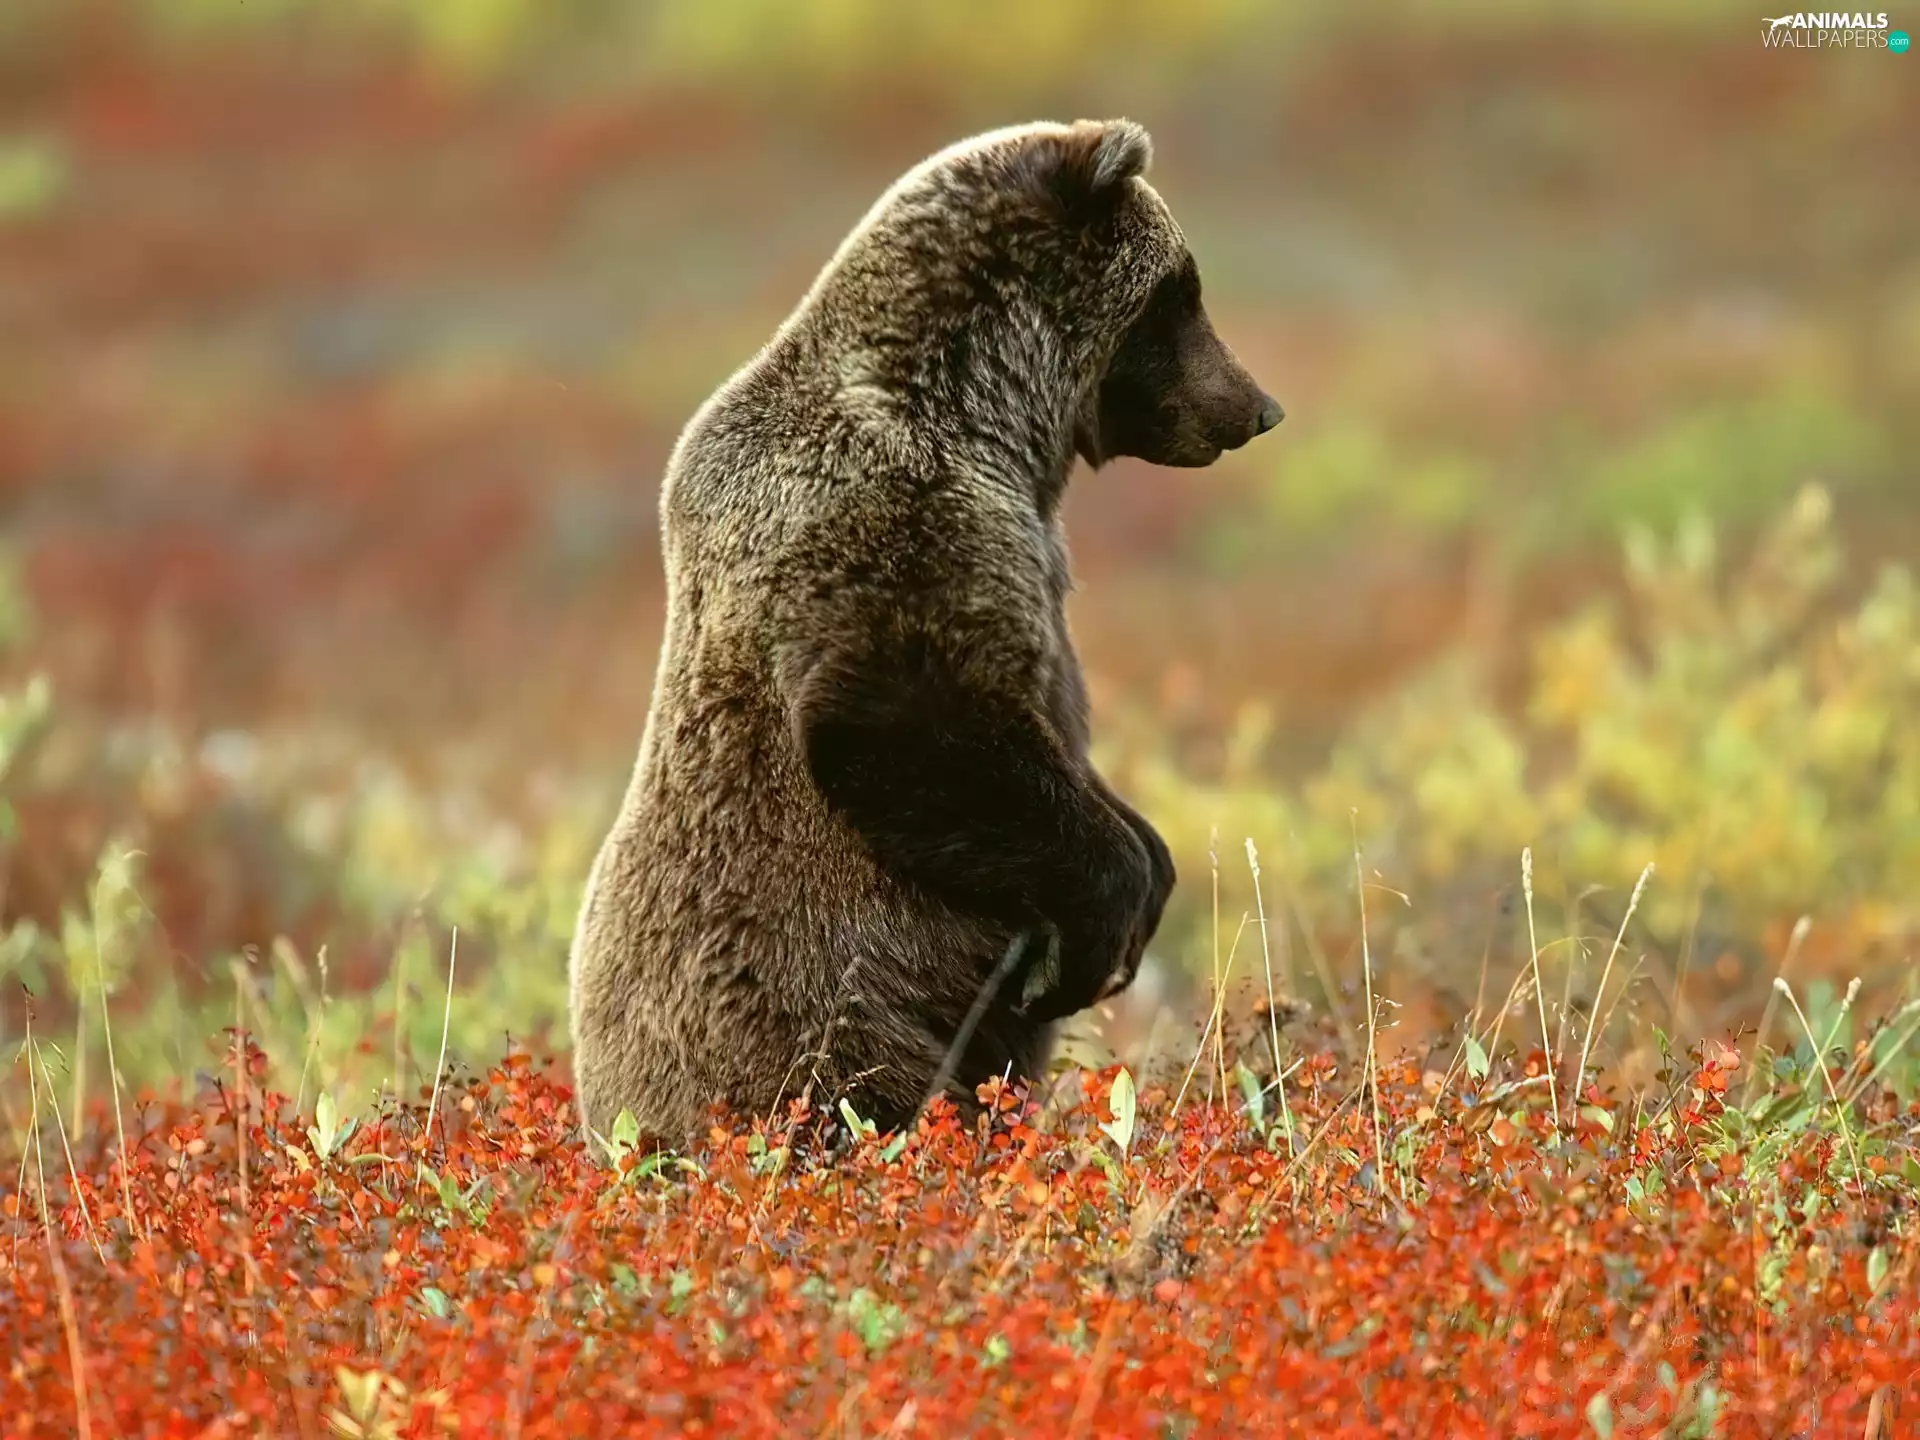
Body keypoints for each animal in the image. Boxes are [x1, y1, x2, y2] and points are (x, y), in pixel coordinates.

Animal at [568, 118, 1282, 1148]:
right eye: (1179, 294)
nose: (1257, 408)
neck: (989, 419)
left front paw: (1152, 862)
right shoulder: (894, 526)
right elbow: (906, 721)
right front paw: (1107, 923)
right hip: (823, 1014)